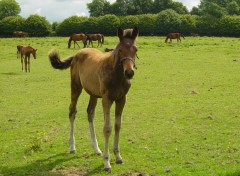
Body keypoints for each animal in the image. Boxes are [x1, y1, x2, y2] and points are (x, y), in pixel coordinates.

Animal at [48, 27, 139, 172]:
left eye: (135, 49)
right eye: (120, 50)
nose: (129, 73)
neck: (117, 75)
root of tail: (77, 54)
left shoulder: (121, 99)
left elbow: (117, 125)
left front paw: (118, 157)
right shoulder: (106, 99)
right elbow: (107, 128)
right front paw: (107, 163)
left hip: (93, 94)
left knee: (90, 113)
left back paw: (97, 149)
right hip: (76, 87)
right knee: (72, 111)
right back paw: (72, 147)